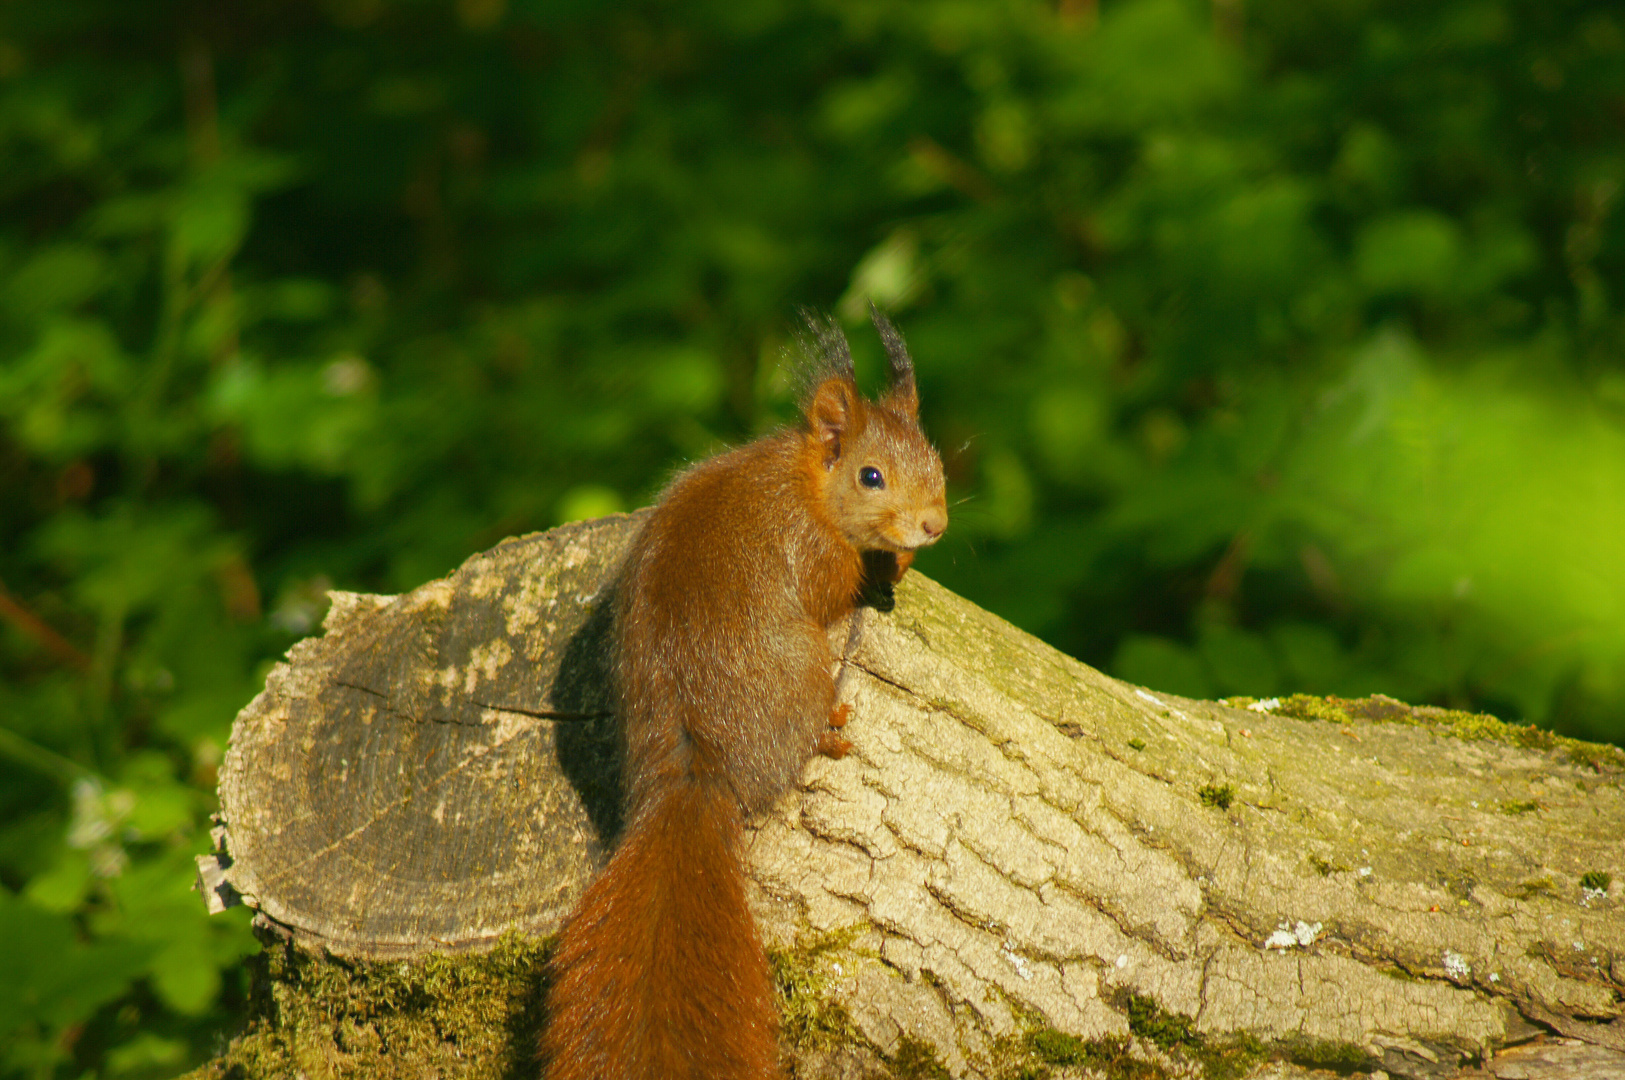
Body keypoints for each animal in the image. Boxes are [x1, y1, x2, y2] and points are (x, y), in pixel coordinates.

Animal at [542, 310, 949, 1078]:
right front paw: (894, 563)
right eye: (871, 476)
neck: (807, 484)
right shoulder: (814, 553)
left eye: (936, 460)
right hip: (807, 670)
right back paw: (831, 727)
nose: (933, 525)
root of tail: (698, 771)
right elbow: (839, 589)